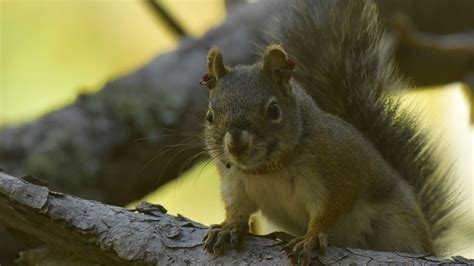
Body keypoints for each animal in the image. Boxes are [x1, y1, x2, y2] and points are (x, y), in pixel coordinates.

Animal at [199, 0, 460, 262]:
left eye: (273, 111)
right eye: (210, 116)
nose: (236, 144)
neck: (268, 169)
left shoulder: (338, 174)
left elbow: (329, 212)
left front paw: (310, 238)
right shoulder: (234, 184)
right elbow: (238, 209)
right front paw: (228, 228)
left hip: (399, 222)